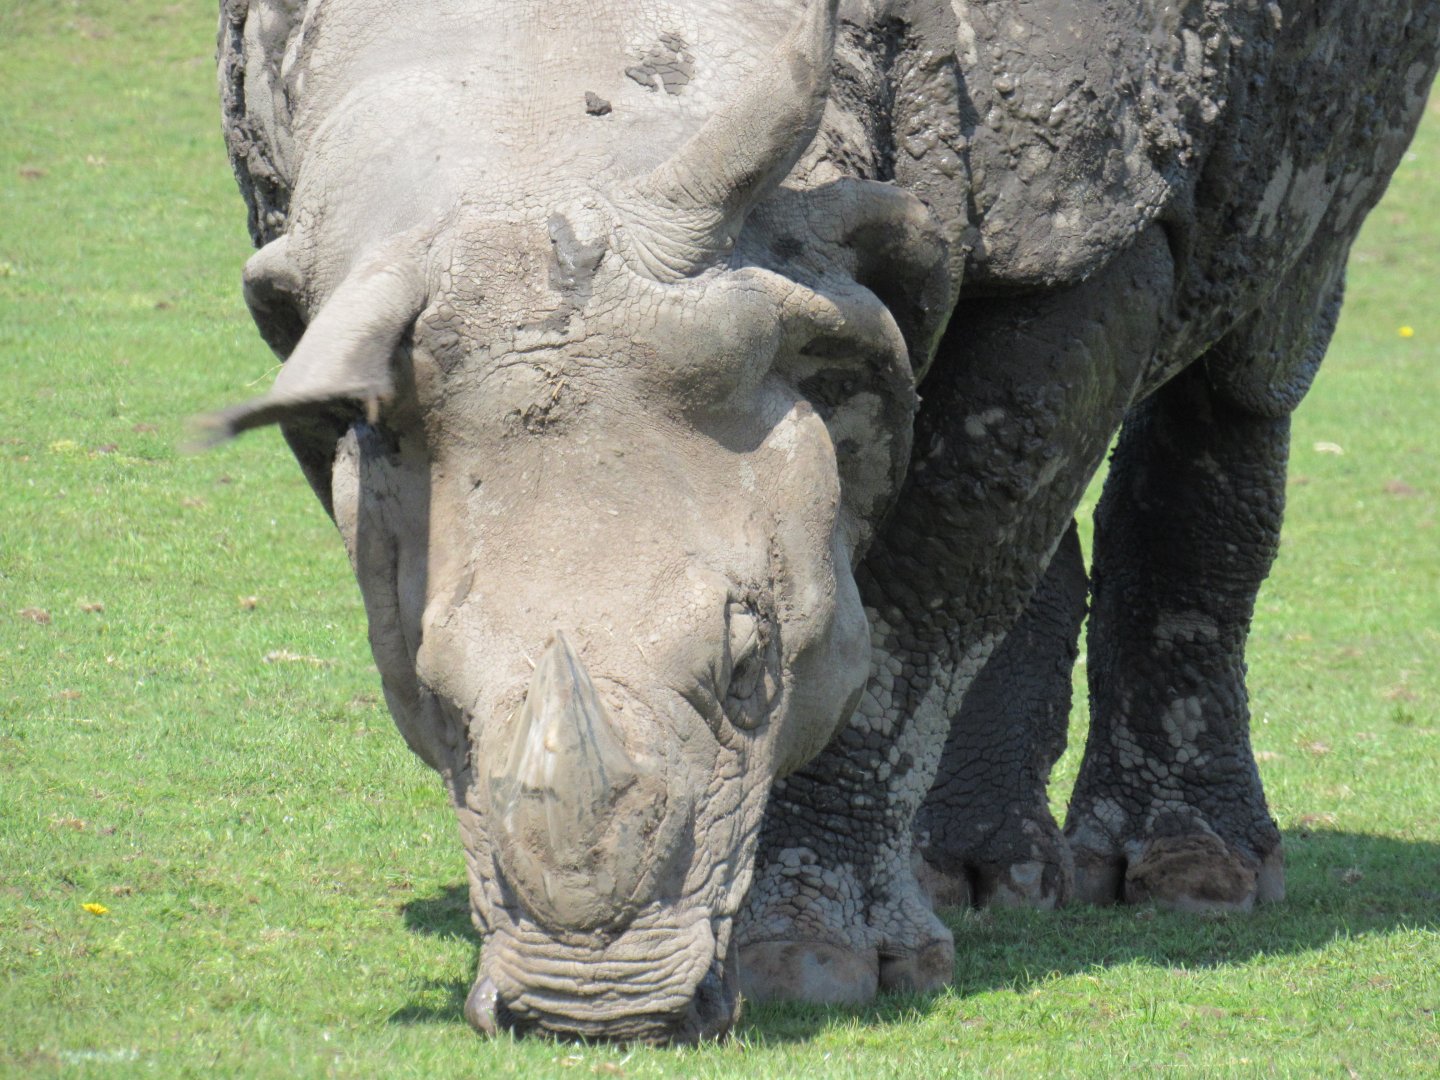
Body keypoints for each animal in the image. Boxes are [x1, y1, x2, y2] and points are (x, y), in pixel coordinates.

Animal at [211, 0, 1439, 1043]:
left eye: (753, 667)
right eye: (429, 695)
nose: (594, 1009)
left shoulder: (1082, 223)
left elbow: (923, 597)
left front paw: (812, 965)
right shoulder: (317, 284)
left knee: (1258, 338)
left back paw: (1190, 881)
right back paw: (980, 881)